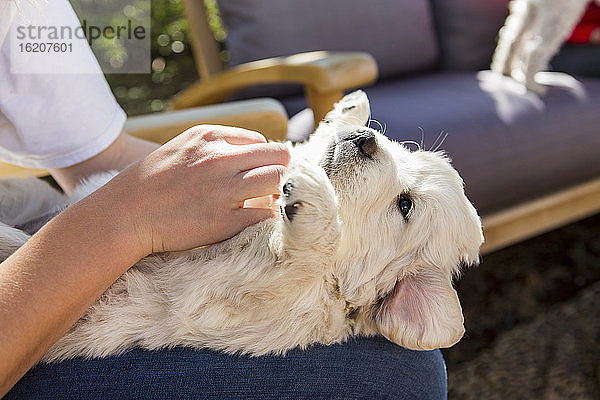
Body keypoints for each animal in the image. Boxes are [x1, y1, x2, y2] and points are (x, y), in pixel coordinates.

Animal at [0, 91, 482, 362]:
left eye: (405, 205)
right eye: (402, 150)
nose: (365, 140)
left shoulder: (240, 293)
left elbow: (312, 250)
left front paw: (314, 196)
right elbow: (303, 145)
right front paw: (349, 110)